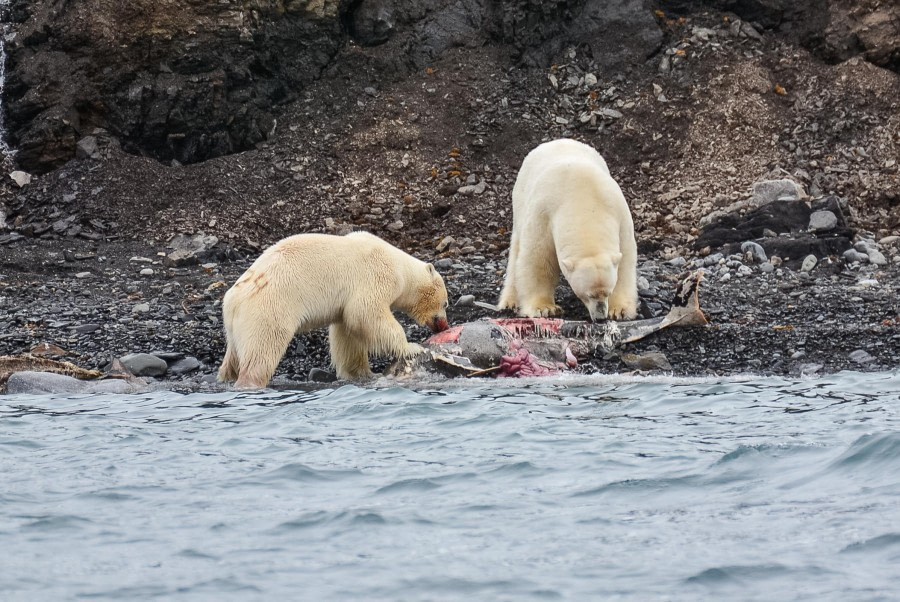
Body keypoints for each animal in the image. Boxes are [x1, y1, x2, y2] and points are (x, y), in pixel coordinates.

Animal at [218, 227, 450, 386]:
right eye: (446, 303)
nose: (444, 325)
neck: (399, 266)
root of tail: (232, 300)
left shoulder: (344, 304)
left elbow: (347, 332)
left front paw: (361, 373)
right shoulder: (375, 276)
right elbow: (367, 313)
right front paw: (411, 347)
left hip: (235, 326)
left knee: (232, 358)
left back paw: (226, 377)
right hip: (268, 309)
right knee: (262, 349)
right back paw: (250, 381)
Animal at [500, 138, 640, 322]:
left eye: (608, 293)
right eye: (589, 295)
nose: (600, 317)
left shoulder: (619, 213)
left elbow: (625, 261)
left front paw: (619, 310)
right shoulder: (544, 213)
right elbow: (537, 258)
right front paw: (544, 308)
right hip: (520, 202)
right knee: (516, 252)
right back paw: (509, 302)